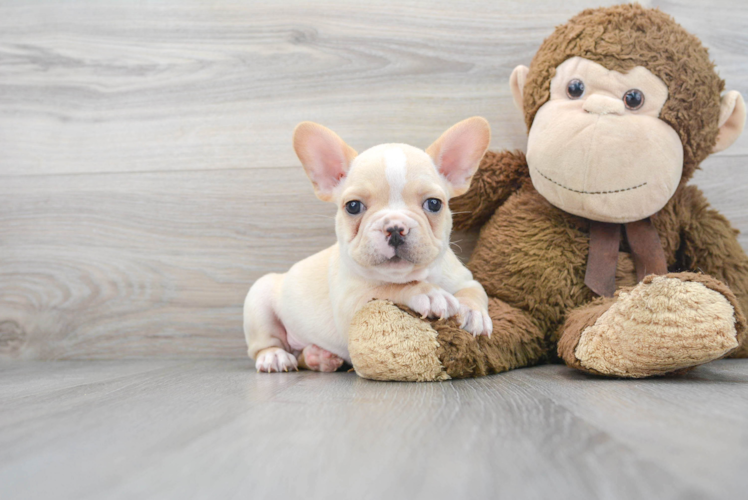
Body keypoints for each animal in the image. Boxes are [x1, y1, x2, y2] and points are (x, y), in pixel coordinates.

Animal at [243, 117, 494, 372]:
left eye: (434, 204)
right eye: (353, 206)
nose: (395, 227)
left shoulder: (465, 279)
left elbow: (475, 291)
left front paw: (473, 313)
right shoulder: (352, 306)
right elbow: (388, 289)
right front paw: (428, 292)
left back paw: (318, 356)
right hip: (259, 298)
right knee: (264, 345)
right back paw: (275, 356)